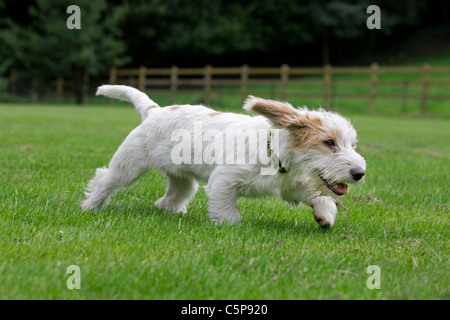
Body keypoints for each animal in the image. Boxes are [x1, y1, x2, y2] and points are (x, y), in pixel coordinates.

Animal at [81, 85, 366, 228]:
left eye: (352, 144)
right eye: (328, 142)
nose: (359, 173)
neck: (273, 152)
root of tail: (155, 110)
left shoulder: (291, 186)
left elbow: (321, 197)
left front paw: (324, 215)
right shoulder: (224, 182)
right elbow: (228, 212)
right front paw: (230, 226)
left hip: (182, 179)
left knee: (172, 196)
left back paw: (168, 211)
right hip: (128, 166)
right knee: (105, 179)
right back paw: (91, 206)